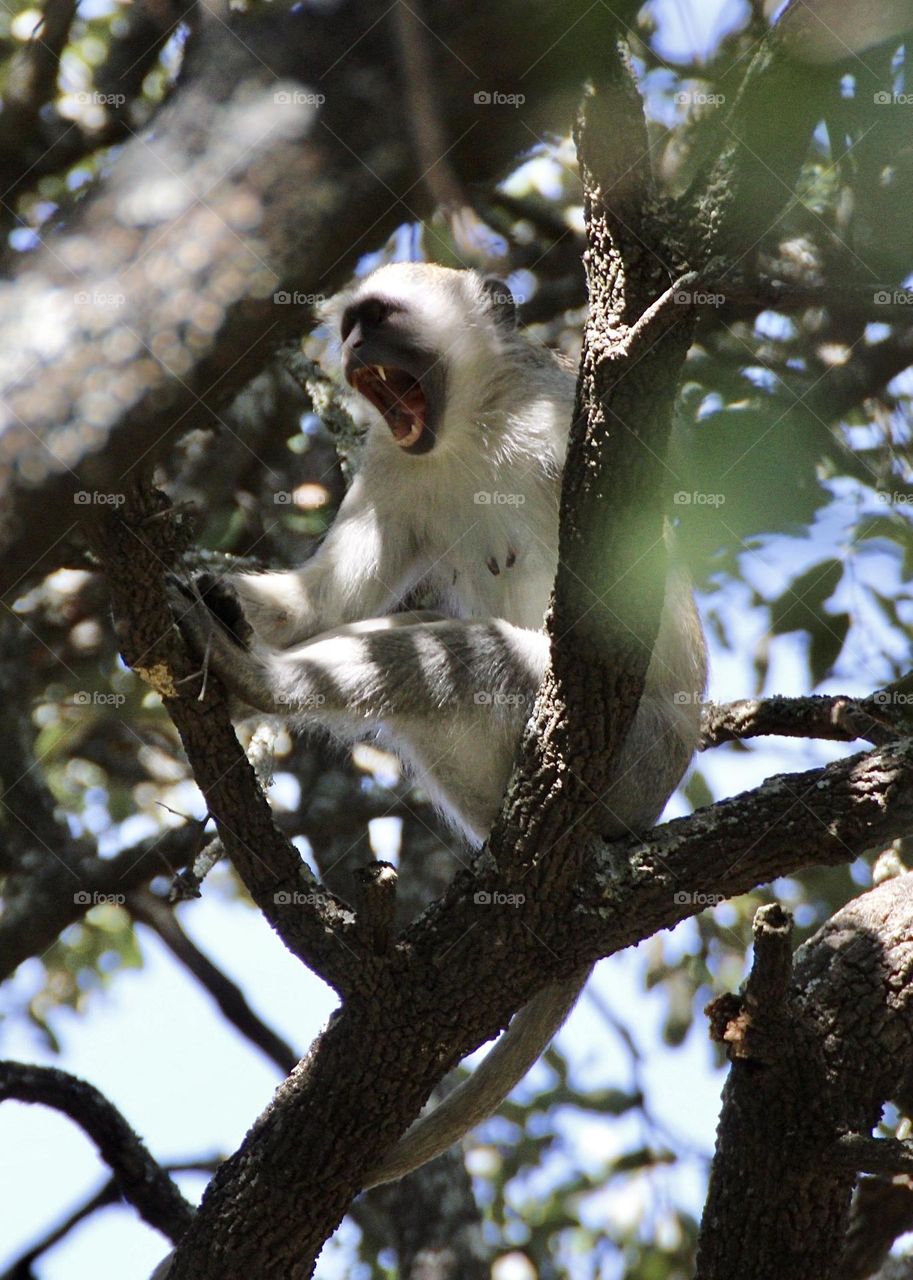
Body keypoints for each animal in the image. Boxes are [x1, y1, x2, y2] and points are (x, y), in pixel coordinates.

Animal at [176, 262, 706, 1187]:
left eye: (380, 318)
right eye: (351, 324)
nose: (353, 345)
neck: (471, 427)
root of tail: (642, 813)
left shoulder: (562, 422)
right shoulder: (394, 464)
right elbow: (325, 602)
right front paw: (224, 596)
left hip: (629, 757)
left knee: (454, 652)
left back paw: (254, 681)